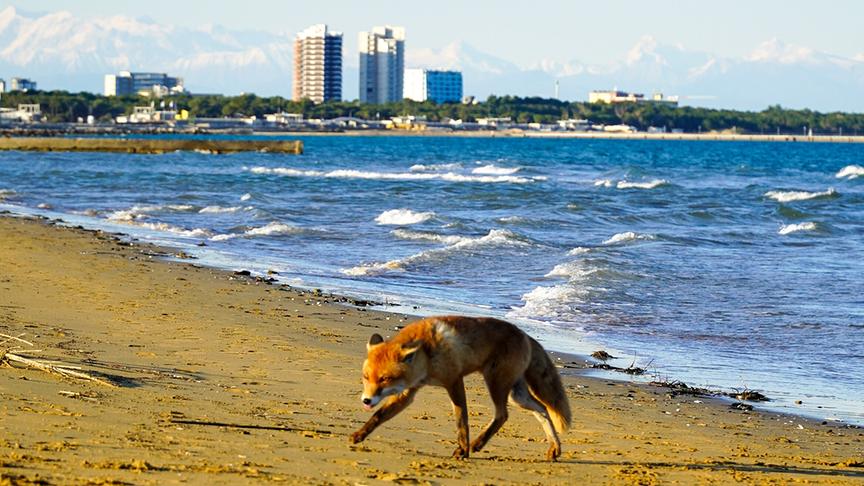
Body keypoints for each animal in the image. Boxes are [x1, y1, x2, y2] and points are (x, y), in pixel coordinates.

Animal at [349, 315, 572, 460]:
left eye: (385, 379)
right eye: (366, 377)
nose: (366, 400)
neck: (427, 357)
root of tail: (525, 334)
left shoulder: (454, 381)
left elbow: (461, 420)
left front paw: (462, 450)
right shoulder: (408, 391)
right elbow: (378, 416)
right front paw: (360, 435)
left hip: (497, 384)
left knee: (503, 415)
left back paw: (477, 444)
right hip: (517, 395)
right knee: (543, 410)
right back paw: (555, 448)